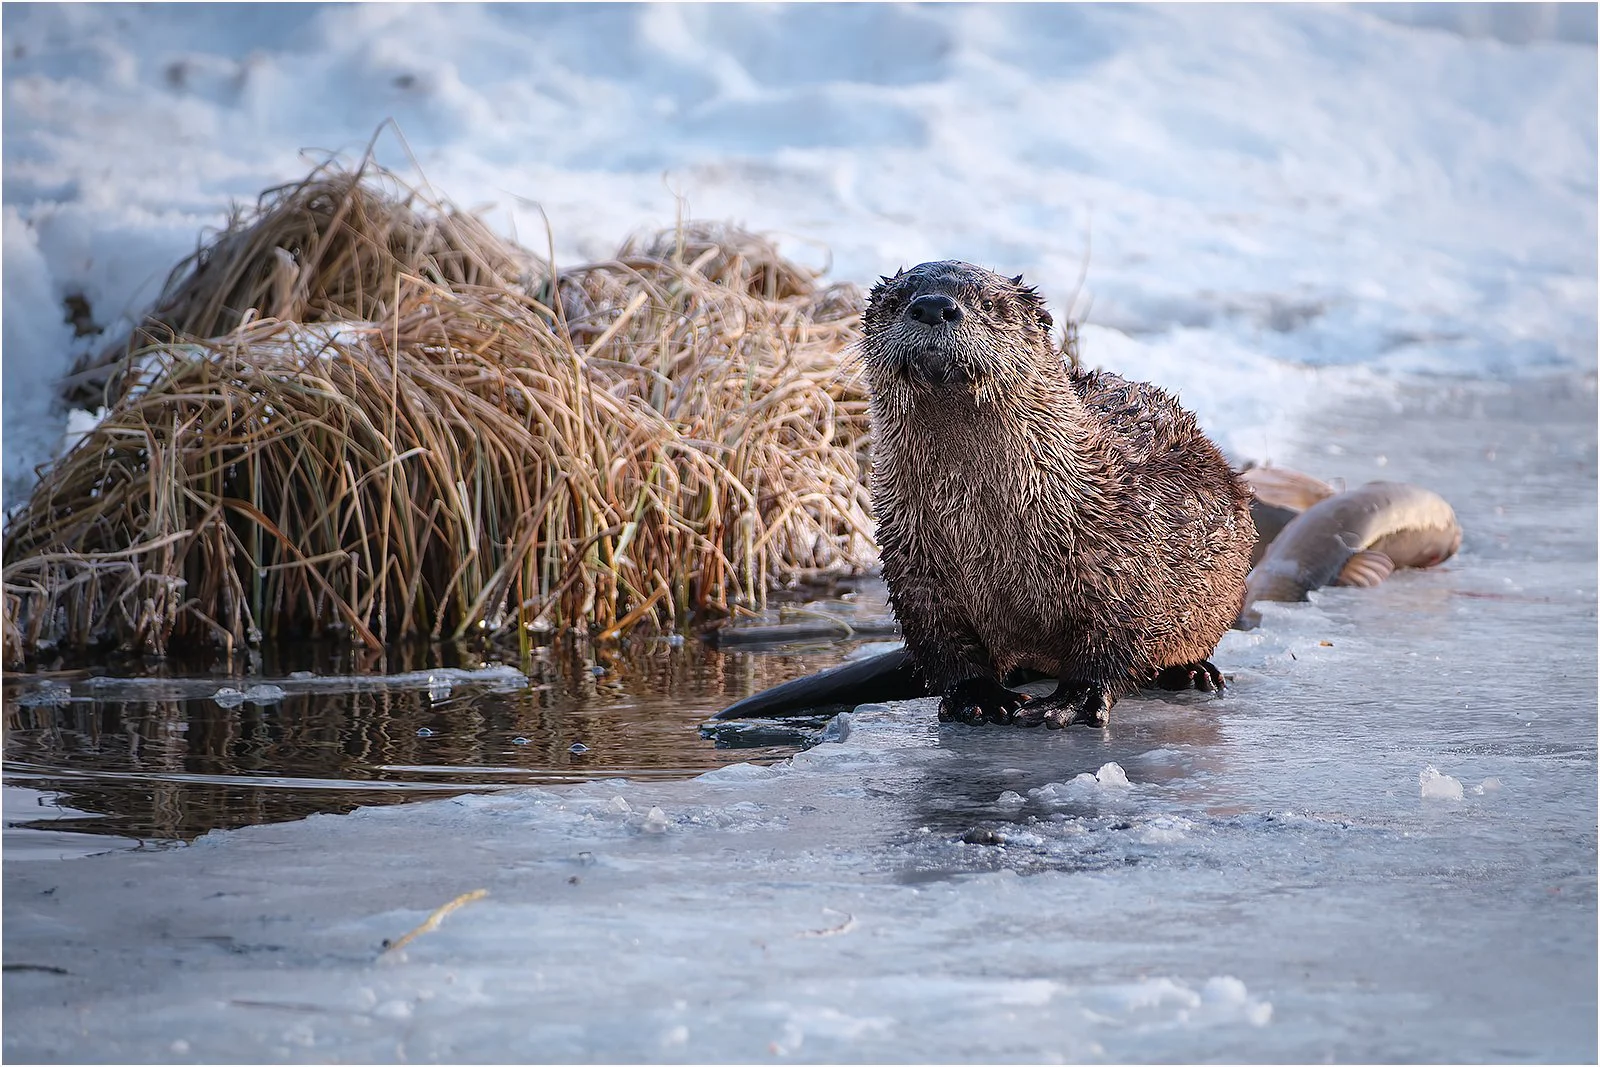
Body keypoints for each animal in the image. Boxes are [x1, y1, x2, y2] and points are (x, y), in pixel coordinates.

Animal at [862, 261, 1255, 728]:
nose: (934, 305)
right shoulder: (914, 563)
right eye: (895, 301)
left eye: (989, 303)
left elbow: (1116, 639)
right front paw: (978, 698)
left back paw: (1195, 672)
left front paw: (1071, 701)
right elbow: (943, 644)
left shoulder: (1127, 562)